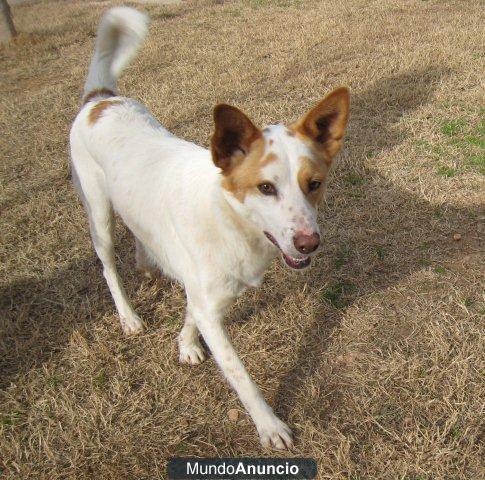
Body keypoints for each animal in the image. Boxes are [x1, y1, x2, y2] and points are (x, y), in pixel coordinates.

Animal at [70, 7, 348, 450]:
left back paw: (146, 261)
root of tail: (99, 99)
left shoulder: (206, 293)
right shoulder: (213, 308)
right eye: (265, 188)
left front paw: (185, 343)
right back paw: (128, 316)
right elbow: (240, 375)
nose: (309, 243)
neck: (227, 218)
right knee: (108, 267)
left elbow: (190, 312)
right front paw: (269, 426)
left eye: (314, 183)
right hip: (98, 214)